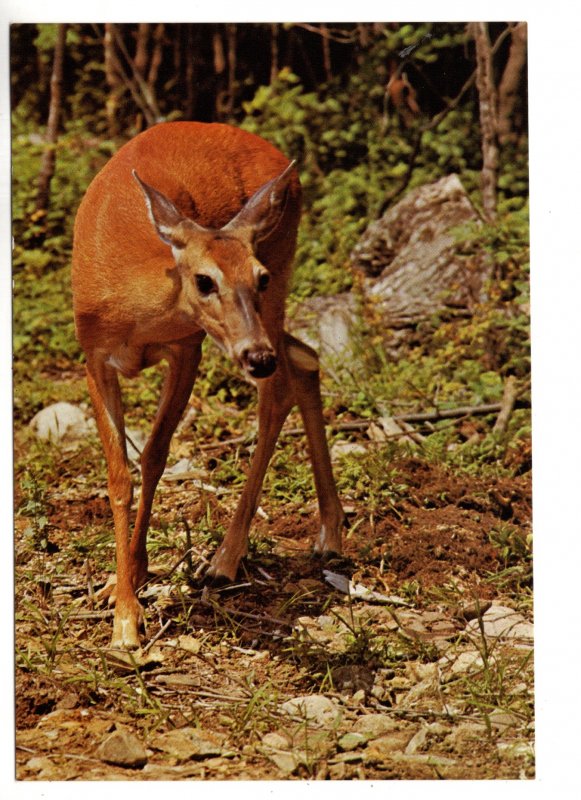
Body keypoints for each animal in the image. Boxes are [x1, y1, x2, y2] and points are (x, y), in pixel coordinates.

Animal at [72, 123, 344, 648]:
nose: (257, 357)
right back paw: (329, 534)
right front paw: (122, 596)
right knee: (305, 358)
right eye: (203, 280)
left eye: (257, 276)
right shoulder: (93, 356)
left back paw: (225, 559)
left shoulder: (187, 346)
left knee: (279, 387)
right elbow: (118, 477)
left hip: (279, 276)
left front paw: (129, 608)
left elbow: (154, 457)